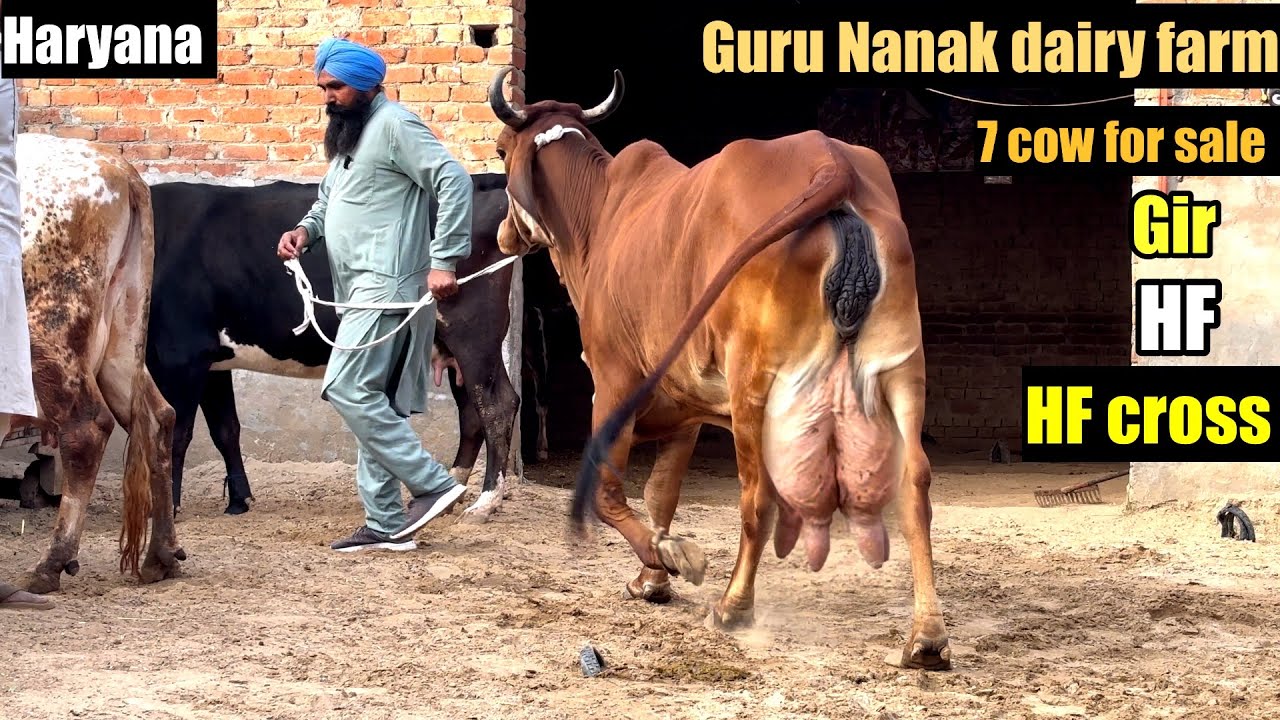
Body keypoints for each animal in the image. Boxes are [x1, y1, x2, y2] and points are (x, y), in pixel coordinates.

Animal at [11, 132, 183, 594]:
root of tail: (120, 170)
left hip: (49, 335)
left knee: (87, 428)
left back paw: (51, 564)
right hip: (122, 337)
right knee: (158, 417)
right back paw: (161, 556)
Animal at [146, 173, 522, 523]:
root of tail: (481, 181)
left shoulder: (182, 355)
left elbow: (177, 432)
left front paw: (169, 508)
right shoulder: (213, 360)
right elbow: (226, 429)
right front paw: (239, 502)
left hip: (472, 333)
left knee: (497, 405)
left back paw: (484, 503)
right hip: (452, 347)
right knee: (472, 412)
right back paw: (451, 493)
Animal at [486, 67, 951, 671]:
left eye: (501, 150)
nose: (502, 235)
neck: (602, 213)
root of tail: (832, 164)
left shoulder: (612, 383)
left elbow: (611, 495)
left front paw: (668, 557)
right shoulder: (682, 410)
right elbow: (660, 493)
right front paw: (651, 579)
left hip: (756, 387)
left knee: (757, 500)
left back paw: (733, 605)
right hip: (900, 375)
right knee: (914, 486)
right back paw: (927, 635)